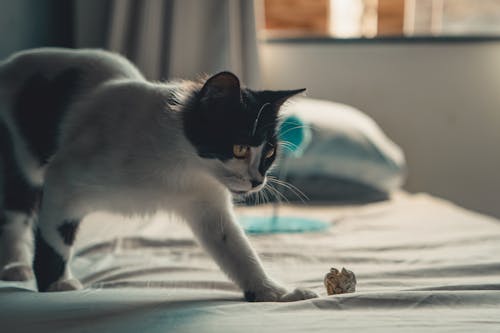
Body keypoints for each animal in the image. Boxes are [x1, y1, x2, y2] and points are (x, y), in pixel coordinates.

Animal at [0, 48, 318, 300]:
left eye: (269, 153)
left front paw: (272, 291)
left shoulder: (205, 202)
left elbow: (237, 249)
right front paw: (56, 284)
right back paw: (15, 266)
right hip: (17, 159)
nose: (257, 181)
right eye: (239, 149)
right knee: (15, 214)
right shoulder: (64, 178)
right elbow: (55, 238)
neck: (183, 166)